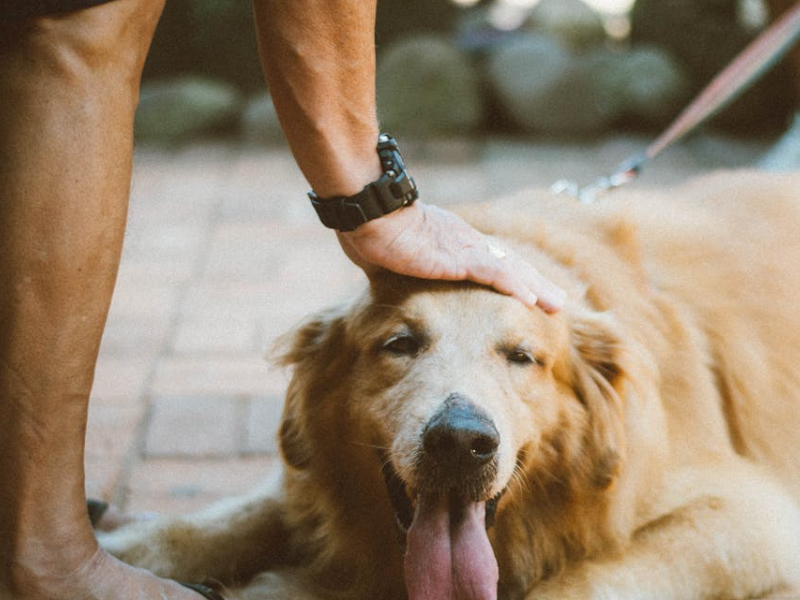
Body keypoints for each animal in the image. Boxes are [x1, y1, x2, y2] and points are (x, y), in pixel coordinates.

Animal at [100, 170, 800, 600]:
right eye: (400, 344)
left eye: (523, 357)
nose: (461, 442)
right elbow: (224, 520)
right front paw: (121, 544)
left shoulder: (751, 517)